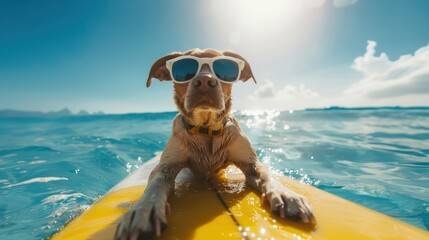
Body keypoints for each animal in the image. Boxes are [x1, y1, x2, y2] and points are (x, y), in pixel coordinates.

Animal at [113, 48, 314, 240]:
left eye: (223, 67)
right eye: (184, 69)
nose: (204, 81)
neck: (206, 129)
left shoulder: (250, 163)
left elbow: (265, 173)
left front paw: (286, 194)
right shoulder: (167, 166)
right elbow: (155, 184)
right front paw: (143, 209)